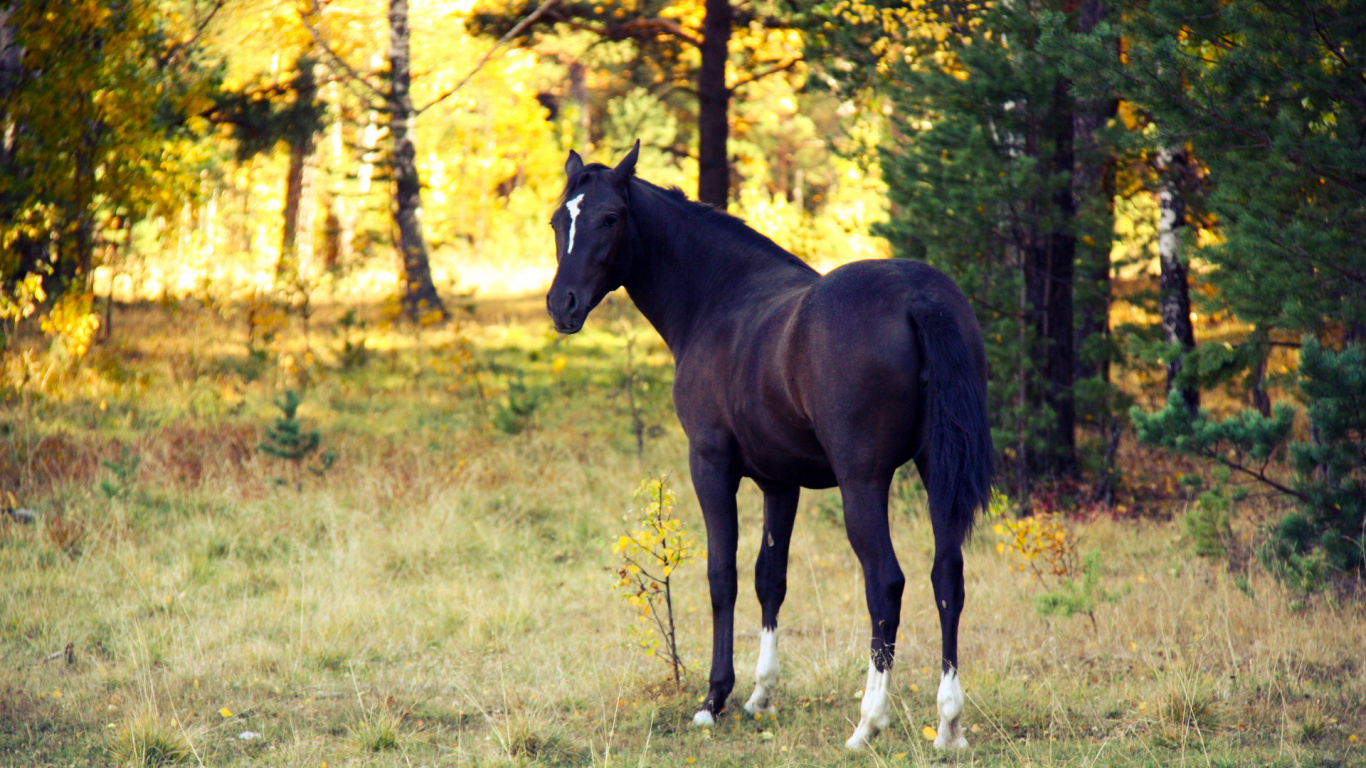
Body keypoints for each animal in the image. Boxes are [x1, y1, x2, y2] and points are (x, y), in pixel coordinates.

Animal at [545, 142, 993, 750]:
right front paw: (760, 695)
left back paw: (868, 722)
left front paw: (714, 699)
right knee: (947, 575)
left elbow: (723, 577)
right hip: (934, 471)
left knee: (886, 583)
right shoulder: (781, 482)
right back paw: (948, 724)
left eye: (609, 218)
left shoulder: (711, 466)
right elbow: (769, 578)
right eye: (557, 220)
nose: (562, 305)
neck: (718, 299)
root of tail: (920, 296)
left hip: (863, 482)